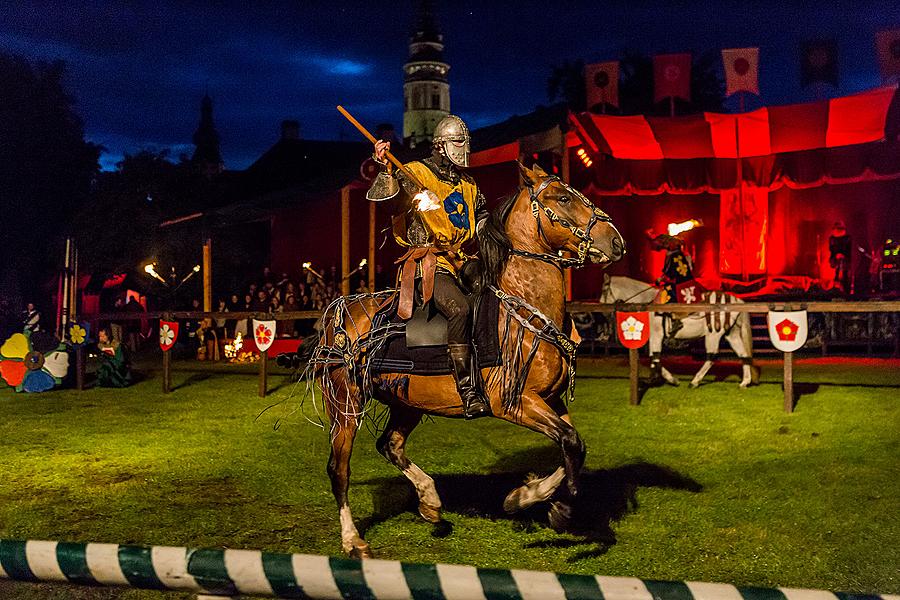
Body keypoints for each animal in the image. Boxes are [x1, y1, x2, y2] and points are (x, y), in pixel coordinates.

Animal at [306, 163, 624, 556]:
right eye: (563, 197)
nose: (616, 241)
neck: (523, 304)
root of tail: (338, 311)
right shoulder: (515, 402)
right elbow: (571, 442)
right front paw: (545, 503)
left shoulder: (551, 400)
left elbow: (574, 445)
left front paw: (530, 498)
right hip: (345, 400)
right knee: (339, 468)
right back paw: (353, 539)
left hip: (407, 401)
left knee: (390, 445)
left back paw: (430, 501)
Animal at [600, 274, 756, 386]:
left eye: (603, 291)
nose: (603, 312)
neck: (648, 303)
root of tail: (736, 300)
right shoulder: (653, 338)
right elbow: (653, 357)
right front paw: (658, 378)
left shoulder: (657, 335)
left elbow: (654, 357)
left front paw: (669, 379)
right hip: (731, 334)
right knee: (743, 354)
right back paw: (745, 382)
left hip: (713, 334)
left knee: (711, 357)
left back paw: (695, 381)